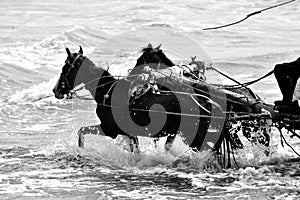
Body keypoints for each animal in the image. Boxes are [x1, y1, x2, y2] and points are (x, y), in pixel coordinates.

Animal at [53, 45, 270, 155]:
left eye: (65, 67)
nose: (56, 90)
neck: (108, 91)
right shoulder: (130, 133)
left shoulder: (110, 129)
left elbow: (81, 131)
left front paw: (82, 151)